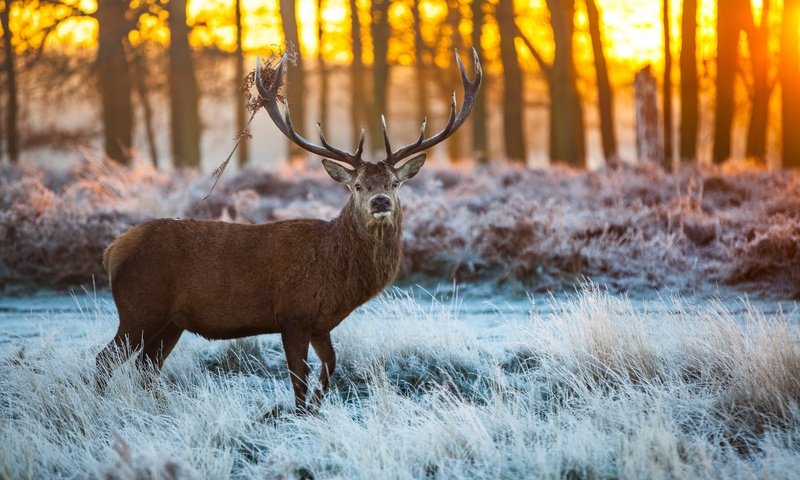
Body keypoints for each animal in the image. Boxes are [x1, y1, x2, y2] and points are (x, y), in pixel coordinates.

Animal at [94, 48, 482, 412]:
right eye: (357, 185)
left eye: (395, 183)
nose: (381, 202)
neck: (340, 279)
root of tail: (112, 251)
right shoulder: (292, 316)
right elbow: (299, 379)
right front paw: (299, 414)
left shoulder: (320, 323)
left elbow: (330, 367)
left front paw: (315, 408)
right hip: (139, 308)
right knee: (105, 360)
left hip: (171, 322)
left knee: (147, 367)